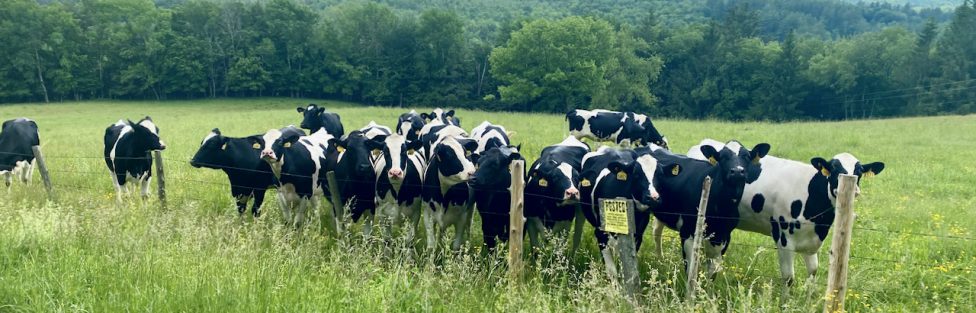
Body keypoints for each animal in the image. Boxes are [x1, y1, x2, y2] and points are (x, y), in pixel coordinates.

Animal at [580, 145, 664, 276]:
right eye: (636, 174)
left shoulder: (637, 236)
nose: (653, 197)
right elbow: (611, 270)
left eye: (660, 175)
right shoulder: (600, 234)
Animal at [648, 140, 772, 276]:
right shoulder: (687, 232)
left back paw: (660, 259)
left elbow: (712, 272)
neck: (721, 210)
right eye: (723, 157)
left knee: (657, 230)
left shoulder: (723, 237)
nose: (737, 171)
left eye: (746, 157)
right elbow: (691, 270)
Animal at [684, 139, 880, 286]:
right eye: (833, 169)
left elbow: (812, 274)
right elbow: (788, 278)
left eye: (859, 171)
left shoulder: (811, 243)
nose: (853, 190)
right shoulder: (784, 239)